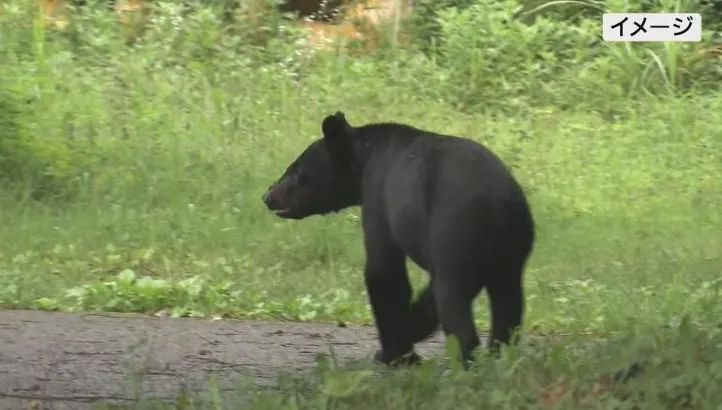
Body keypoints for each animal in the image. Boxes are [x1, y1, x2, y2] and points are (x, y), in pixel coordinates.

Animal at [262, 111, 535, 368]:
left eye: (295, 169)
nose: (268, 195)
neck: (367, 156)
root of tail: (497, 205)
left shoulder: (378, 197)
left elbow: (384, 273)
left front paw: (394, 352)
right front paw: (406, 337)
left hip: (455, 232)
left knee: (453, 301)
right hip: (511, 251)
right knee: (507, 305)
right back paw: (500, 357)